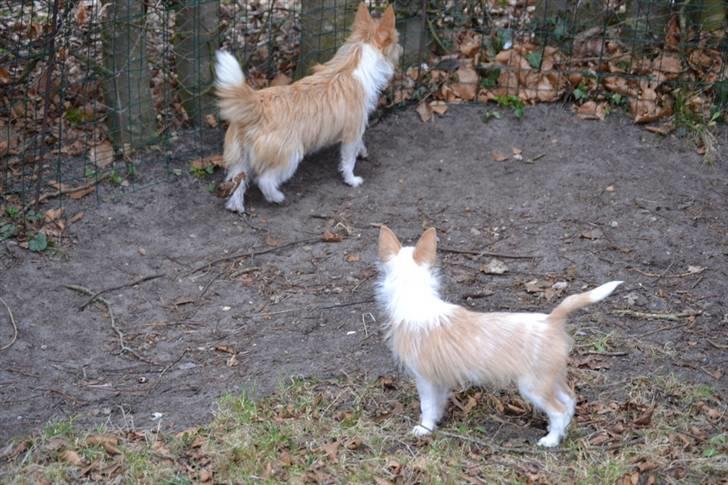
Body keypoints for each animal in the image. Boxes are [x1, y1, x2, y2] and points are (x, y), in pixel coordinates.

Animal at [213, 3, 400, 212]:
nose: (400, 51)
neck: (355, 61)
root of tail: (256, 104)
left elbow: (359, 145)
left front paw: (363, 152)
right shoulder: (353, 131)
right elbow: (348, 160)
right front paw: (351, 180)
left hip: (240, 159)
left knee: (237, 181)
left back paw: (236, 206)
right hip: (289, 155)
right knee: (264, 180)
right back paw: (276, 197)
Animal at [378, 225, 624, 448]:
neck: (416, 298)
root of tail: (551, 320)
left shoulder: (425, 378)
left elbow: (427, 406)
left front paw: (424, 428)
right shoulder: (439, 379)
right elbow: (437, 404)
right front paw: (435, 424)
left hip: (532, 386)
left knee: (558, 409)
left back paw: (551, 440)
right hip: (550, 379)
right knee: (569, 401)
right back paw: (560, 431)